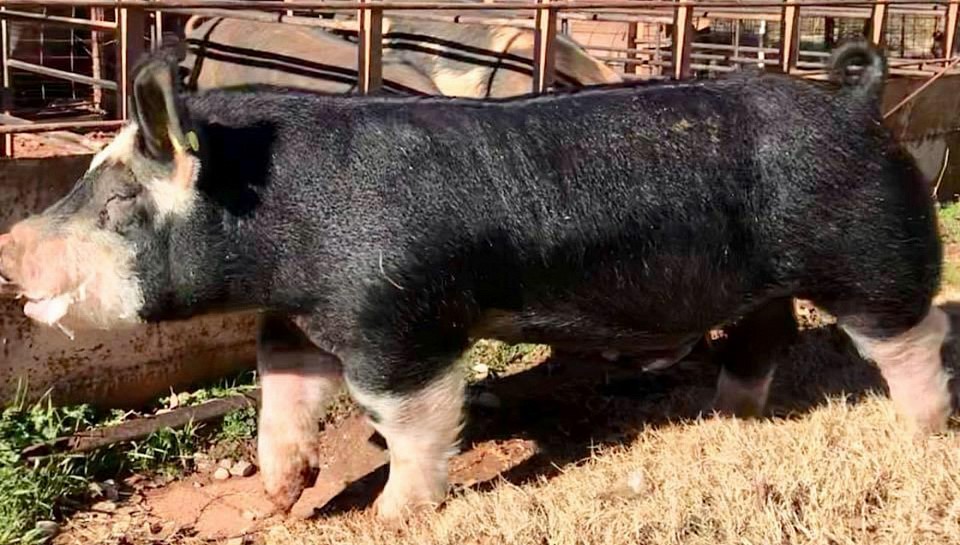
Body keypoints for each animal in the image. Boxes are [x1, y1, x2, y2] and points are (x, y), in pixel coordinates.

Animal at [0, 39, 950, 521]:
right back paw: (723, 416)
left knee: (916, 332)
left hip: (872, 252)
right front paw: (278, 496)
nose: (11, 244)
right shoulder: (303, 315)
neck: (282, 224)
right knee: (767, 333)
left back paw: (925, 433)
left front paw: (392, 518)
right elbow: (284, 395)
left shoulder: (397, 316)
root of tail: (858, 103)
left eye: (119, 202)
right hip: (765, 281)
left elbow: (411, 416)